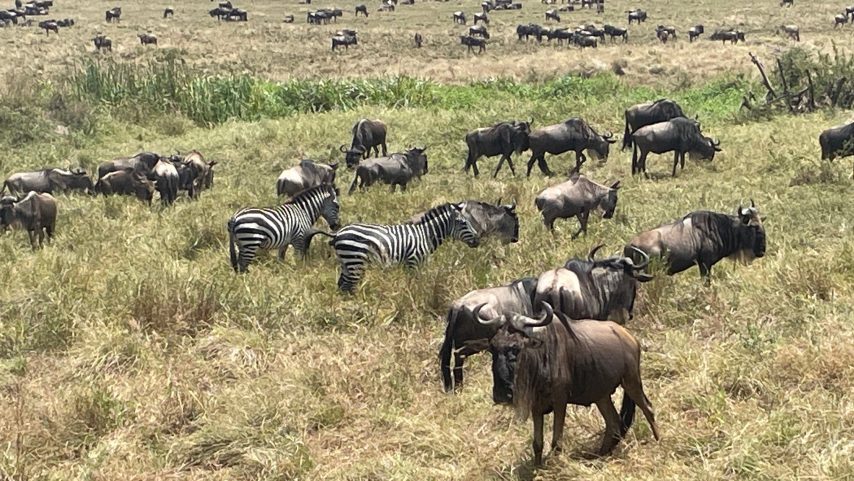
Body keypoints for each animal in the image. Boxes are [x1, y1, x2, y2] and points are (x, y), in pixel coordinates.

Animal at [306, 203, 481, 292]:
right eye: (463, 223)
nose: (478, 240)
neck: (425, 235)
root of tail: (338, 233)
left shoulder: (409, 263)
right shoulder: (414, 261)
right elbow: (414, 282)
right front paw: (413, 297)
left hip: (346, 262)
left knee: (342, 285)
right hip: (355, 261)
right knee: (349, 285)